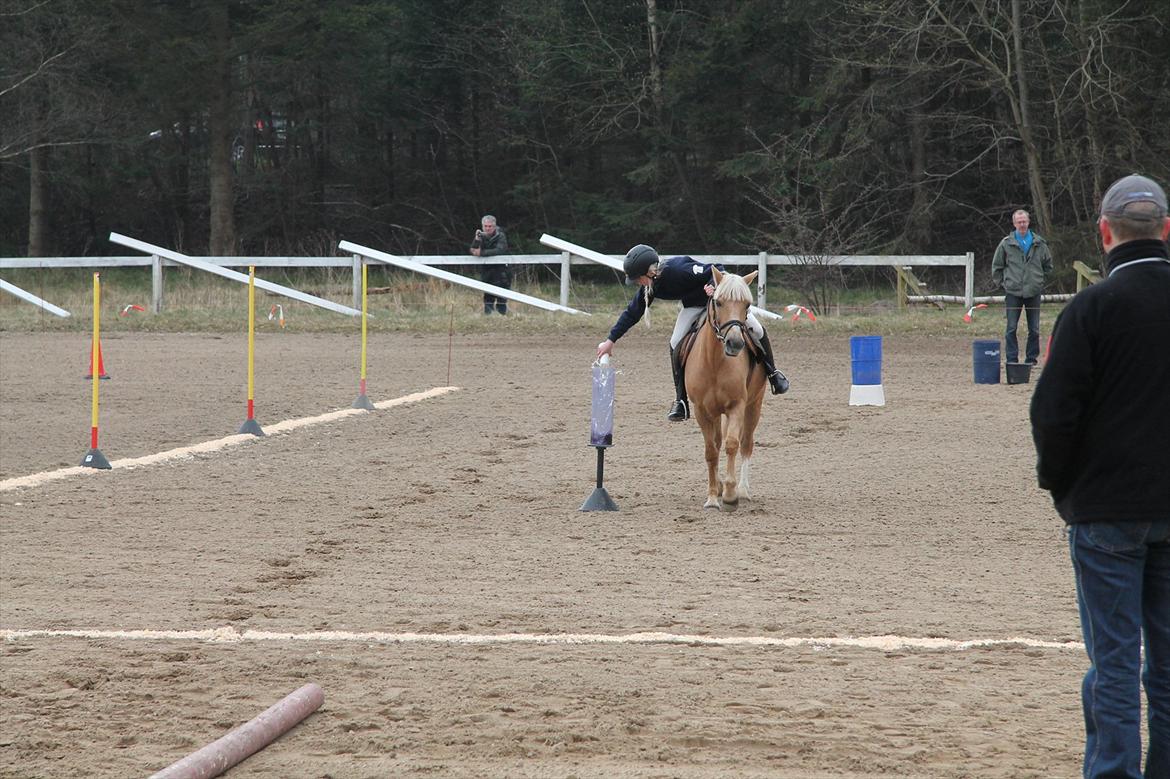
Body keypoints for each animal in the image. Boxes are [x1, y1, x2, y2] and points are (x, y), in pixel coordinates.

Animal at [684, 267, 767, 509]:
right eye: (719, 302)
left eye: (747, 305)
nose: (735, 343)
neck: (714, 362)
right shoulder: (702, 410)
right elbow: (711, 450)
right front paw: (713, 497)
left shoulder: (737, 405)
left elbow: (732, 444)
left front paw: (731, 494)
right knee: (718, 441)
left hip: (754, 405)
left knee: (746, 444)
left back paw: (743, 490)